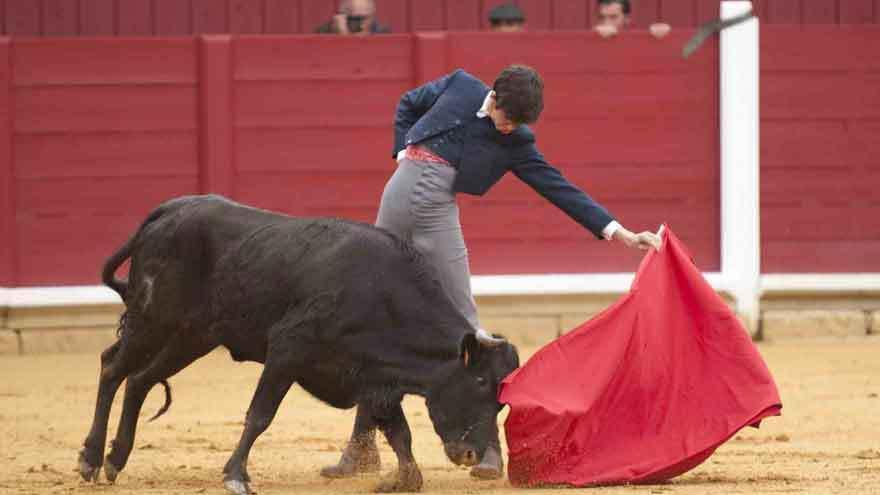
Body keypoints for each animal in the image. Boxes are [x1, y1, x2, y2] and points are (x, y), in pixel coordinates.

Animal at [77, 196, 524, 494]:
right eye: (479, 382)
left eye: (502, 400)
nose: (471, 455)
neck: (381, 294)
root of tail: (171, 210)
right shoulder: (287, 351)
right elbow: (261, 414)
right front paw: (235, 475)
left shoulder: (375, 379)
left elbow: (400, 434)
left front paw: (401, 479)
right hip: (153, 320)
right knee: (112, 368)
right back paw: (90, 459)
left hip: (191, 336)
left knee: (139, 380)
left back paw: (115, 460)